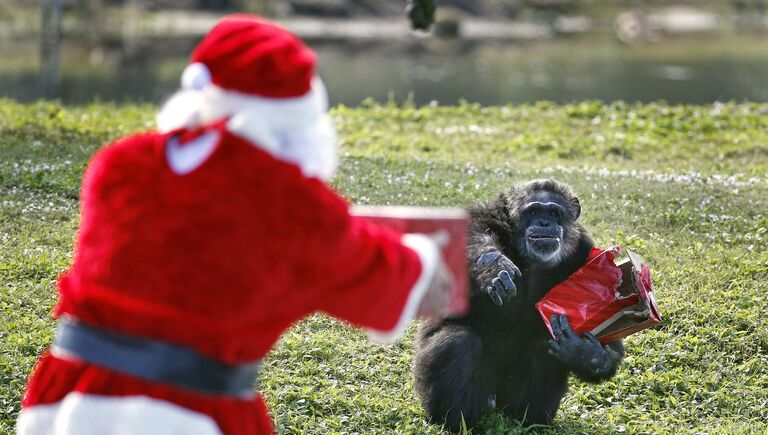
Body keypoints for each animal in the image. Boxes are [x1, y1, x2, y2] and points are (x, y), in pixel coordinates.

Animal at [414, 179, 624, 430]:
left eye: (554, 213)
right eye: (533, 211)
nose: (544, 223)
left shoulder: (586, 255)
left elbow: (610, 332)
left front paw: (584, 352)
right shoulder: (491, 214)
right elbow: (466, 231)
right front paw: (493, 264)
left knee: (543, 348)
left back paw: (530, 420)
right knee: (458, 343)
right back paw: (456, 421)